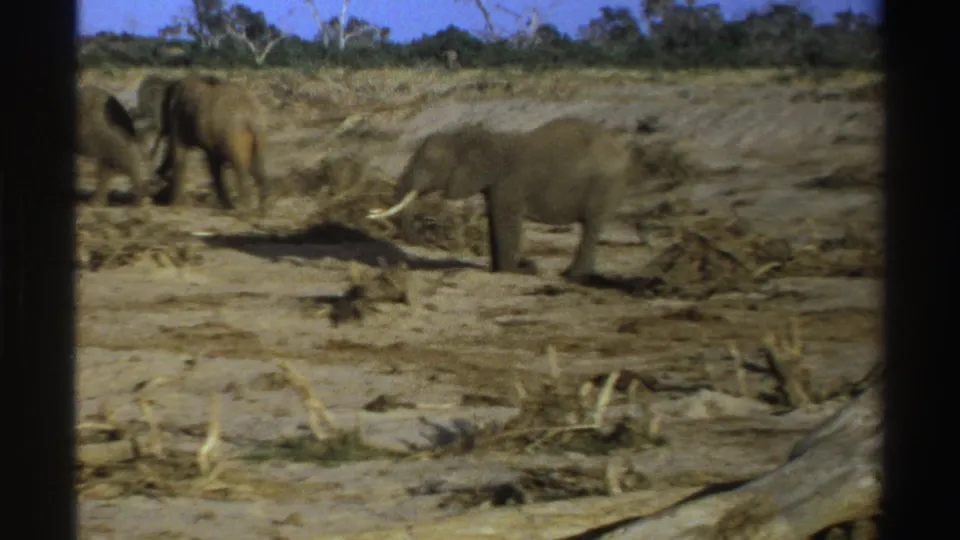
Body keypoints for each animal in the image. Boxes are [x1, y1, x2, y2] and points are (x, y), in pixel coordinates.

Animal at [148, 73, 271, 212]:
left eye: (163, 107)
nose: (156, 174)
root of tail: (249, 116)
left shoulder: (178, 117)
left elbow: (180, 156)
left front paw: (174, 204)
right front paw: (227, 206)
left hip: (234, 135)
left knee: (241, 166)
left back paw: (245, 208)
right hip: (259, 132)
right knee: (256, 165)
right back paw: (262, 209)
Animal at [367, 117, 636, 279]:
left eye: (430, 163)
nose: (426, 242)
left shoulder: (510, 183)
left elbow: (505, 220)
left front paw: (517, 271)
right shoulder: (494, 185)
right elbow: (494, 219)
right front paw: (499, 270)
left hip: (604, 184)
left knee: (591, 225)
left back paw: (572, 276)